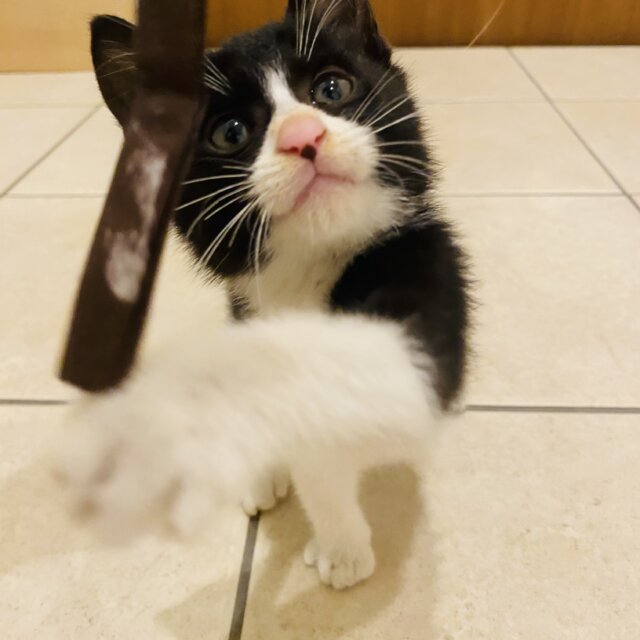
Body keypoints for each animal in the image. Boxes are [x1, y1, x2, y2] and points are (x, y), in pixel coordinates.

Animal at [55, 0, 470, 590]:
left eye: (332, 89)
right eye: (230, 132)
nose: (302, 135)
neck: (307, 267)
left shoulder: (428, 276)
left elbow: (343, 419)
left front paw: (341, 548)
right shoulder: (246, 308)